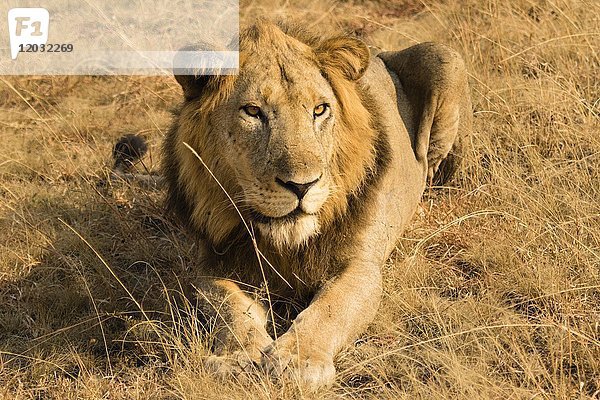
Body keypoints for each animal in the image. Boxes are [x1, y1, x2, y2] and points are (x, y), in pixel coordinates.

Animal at [156, 20, 474, 390]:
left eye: (319, 110)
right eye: (253, 111)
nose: (302, 185)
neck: (284, 241)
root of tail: (380, 53)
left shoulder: (361, 267)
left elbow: (330, 309)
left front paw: (298, 360)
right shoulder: (214, 266)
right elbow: (229, 308)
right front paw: (238, 357)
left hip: (443, 57)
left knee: (432, 163)